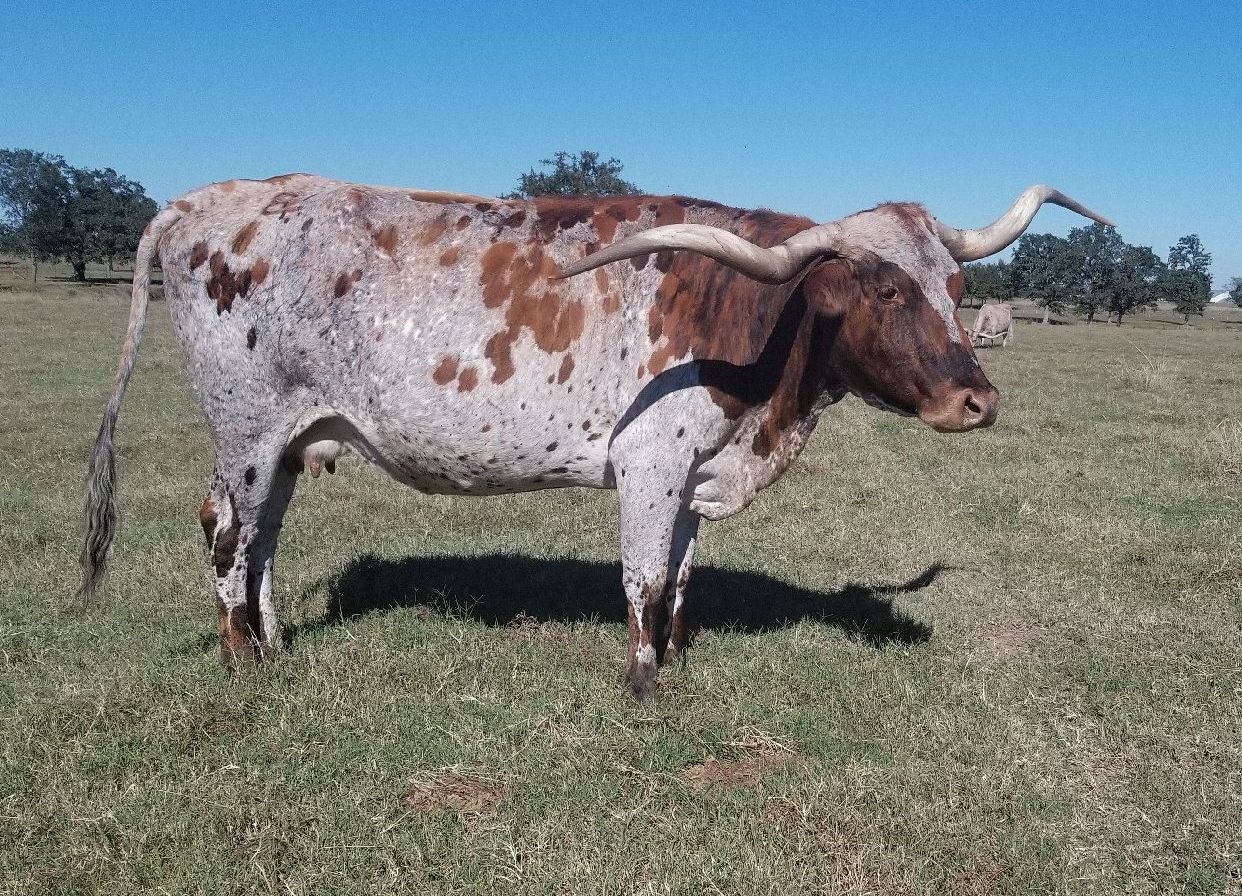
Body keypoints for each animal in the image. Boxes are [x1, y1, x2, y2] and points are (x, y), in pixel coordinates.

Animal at [79, 175, 1110, 697]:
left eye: (959, 288)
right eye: (889, 290)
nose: (978, 401)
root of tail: (204, 199)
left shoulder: (692, 469)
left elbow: (682, 576)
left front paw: (679, 657)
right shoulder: (647, 462)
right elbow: (644, 577)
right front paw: (644, 681)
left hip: (291, 441)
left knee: (263, 541)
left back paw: (278, 648)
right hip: (245, 432)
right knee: (225, 531)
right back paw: (242, 665)